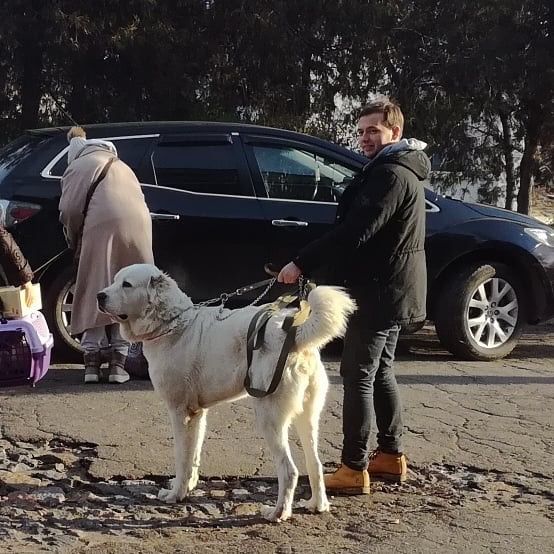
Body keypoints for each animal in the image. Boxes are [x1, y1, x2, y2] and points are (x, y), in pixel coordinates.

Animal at [97, 266, 356, 520]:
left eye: (127, 285)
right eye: (114, 280)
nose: (99, 296)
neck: (173, 324)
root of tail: (295, 334)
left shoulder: (180, 413)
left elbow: (182, 457)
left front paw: (175, 494)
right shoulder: (197, 414)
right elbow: (193, 455)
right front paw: (188, 487)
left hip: (268, 416)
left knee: (289, 470)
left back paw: (278, 513)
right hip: (307, 416)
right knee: (315, 464)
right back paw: (317, 505)